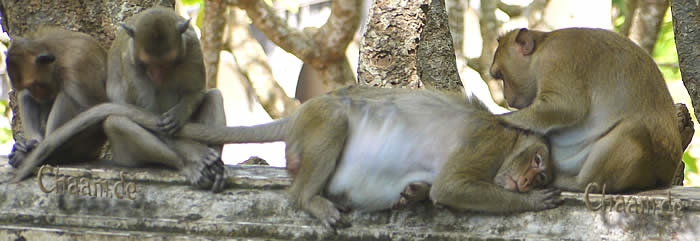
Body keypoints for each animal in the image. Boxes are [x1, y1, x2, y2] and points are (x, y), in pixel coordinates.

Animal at [5, 26, 108, 169]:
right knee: (27, 97)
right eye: (30, 87)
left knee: (67, 99)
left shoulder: (77, 65)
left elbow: (92, 113)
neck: (58, 59)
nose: (37, 94)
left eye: (34, 85)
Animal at [8, 85, 560, 229]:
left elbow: (434, 189)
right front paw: (537, 205)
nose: (529, 183)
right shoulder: (486, 145)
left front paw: (414, 194)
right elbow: (454, 187)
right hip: (319, 122)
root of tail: (297, 118)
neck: (508, 140)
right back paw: (309, 200)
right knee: (332, 125)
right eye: (539, 166)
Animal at [490, 27, 680, 194]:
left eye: (501, 75)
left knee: (633, 128)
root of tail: (666, 175)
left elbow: (566, 106)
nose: (506, 96)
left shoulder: (557, 57)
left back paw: (576, 183)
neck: (542, 46)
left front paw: (500, 119)